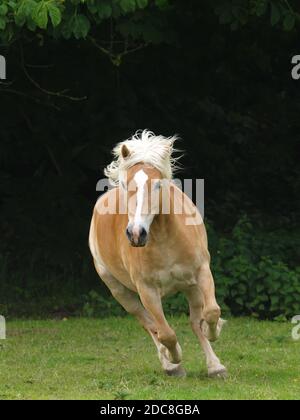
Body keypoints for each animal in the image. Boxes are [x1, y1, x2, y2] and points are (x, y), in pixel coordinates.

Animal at [88, 130, 225, 378]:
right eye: (126, 185)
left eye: (158, 185)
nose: (136, 234)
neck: (164, 240)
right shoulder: (147, 291)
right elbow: (166, 333)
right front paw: (175, 358)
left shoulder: (201, 273)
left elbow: (210, 313)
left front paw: (214, 339)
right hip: (121, 292)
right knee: (150, 325)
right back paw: (170, 364)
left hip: (190, 288)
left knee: (193, 322)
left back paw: (213, 365)